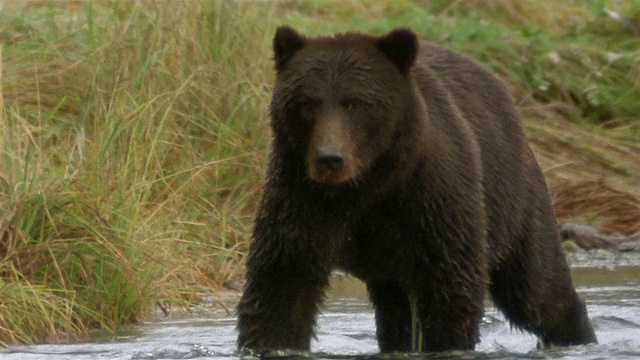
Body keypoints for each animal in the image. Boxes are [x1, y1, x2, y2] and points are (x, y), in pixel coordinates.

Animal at [236, 26, 600, 352]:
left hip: (514, 199)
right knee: (396, 311)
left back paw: (576, 335)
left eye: (356, 103)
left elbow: (449, 289)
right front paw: (270, 341)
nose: (330, 159)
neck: (368, 185)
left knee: (536, 289)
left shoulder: (430, 200)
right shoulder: (302, 200)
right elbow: (283, 284)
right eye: (308, 103)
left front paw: (445, 343)